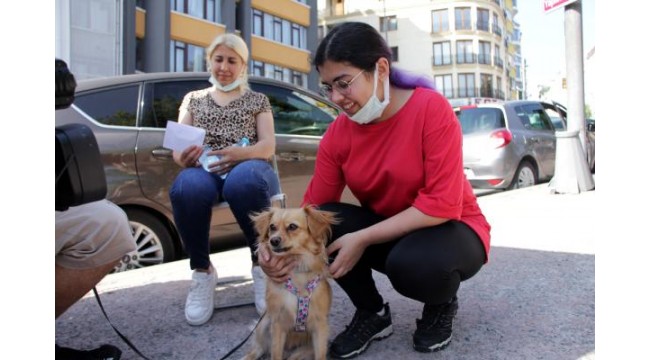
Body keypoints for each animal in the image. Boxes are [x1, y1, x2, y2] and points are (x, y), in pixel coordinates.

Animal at [243, 205, 340, 360]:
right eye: (272, 227)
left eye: (292, 227)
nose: (273, 240)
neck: (296, 271)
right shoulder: (277, 324)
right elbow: (275, 354)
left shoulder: (320, 326)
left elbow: (320, 354)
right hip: (264, 323)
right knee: (261, 347)